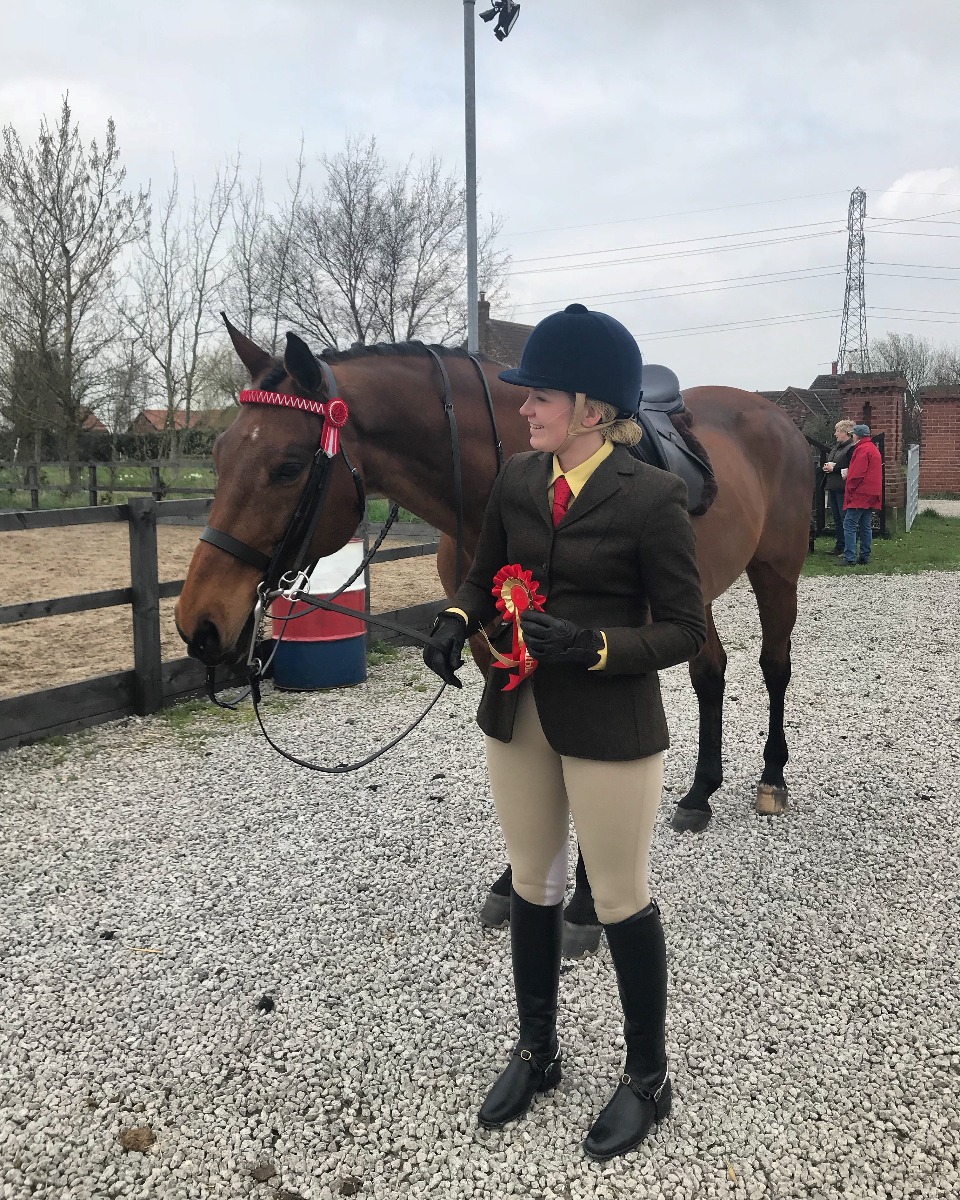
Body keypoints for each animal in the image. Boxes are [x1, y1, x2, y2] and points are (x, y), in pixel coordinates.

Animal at [176, 324, 816, 950]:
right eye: (219, 454)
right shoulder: (491, 646)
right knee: (711, 673)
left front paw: (584, 905)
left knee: (773, 667)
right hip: (696, 595)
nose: (197, 624)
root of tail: (776, 418)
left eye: (287, 466)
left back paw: (771, 779)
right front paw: (516, 882)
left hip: (775, 573)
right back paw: (699, 794)